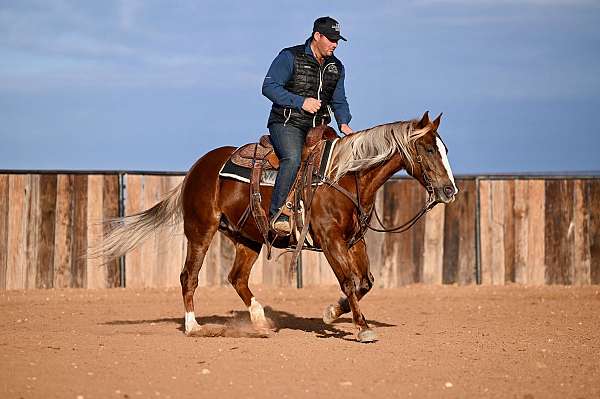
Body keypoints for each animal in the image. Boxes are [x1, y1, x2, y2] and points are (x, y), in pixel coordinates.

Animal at [97, 111, 454, 344]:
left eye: (445, 148)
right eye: (428, 149)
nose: (450, 190)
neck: (344, 176)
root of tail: (197, 168)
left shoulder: (355, 240)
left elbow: (365, 282)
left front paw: (330, 313)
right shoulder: (330, 239)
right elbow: (350, 282)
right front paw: (363, 327)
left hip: (248, 238)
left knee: (237, 278)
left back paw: (259, 319)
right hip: (200, 230)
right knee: (189, 277)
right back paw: (194, 327)